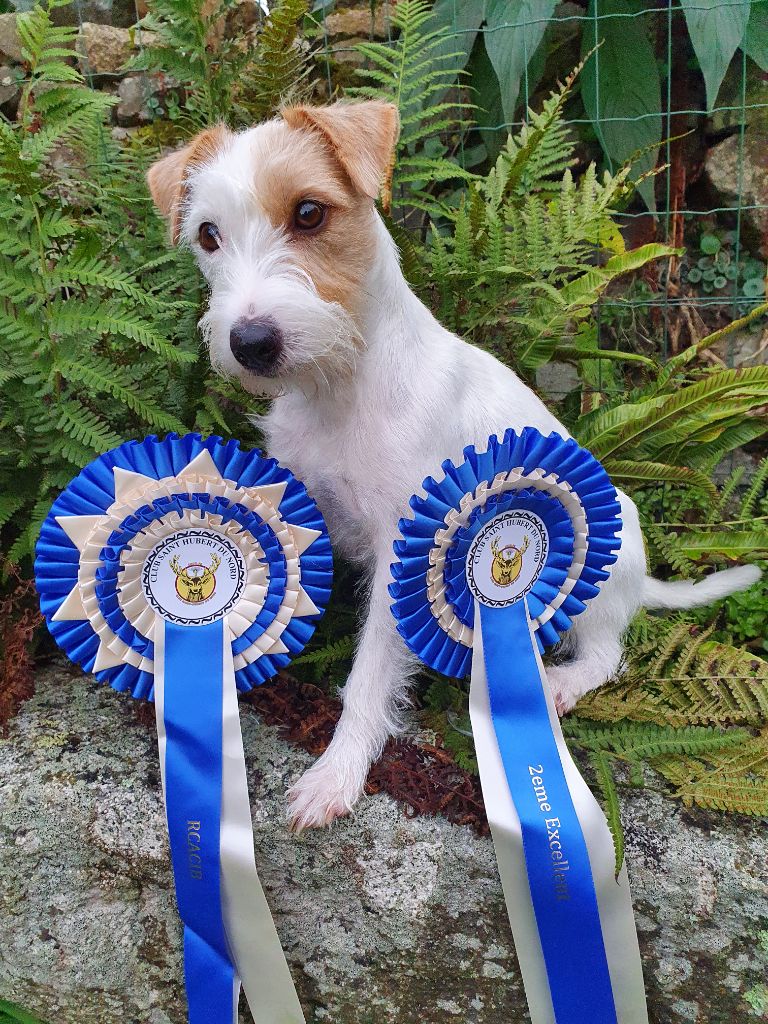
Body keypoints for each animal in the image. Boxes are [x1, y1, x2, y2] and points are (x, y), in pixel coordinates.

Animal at [147, 97, 761, 831]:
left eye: (309, 213)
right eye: (208, 235)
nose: (251, 343)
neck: (341, 387)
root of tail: (643, 579)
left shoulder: (404, 552)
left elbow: (368, 678)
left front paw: (336, 774)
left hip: (591, 570)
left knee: (608, 654)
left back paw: (564, 683)